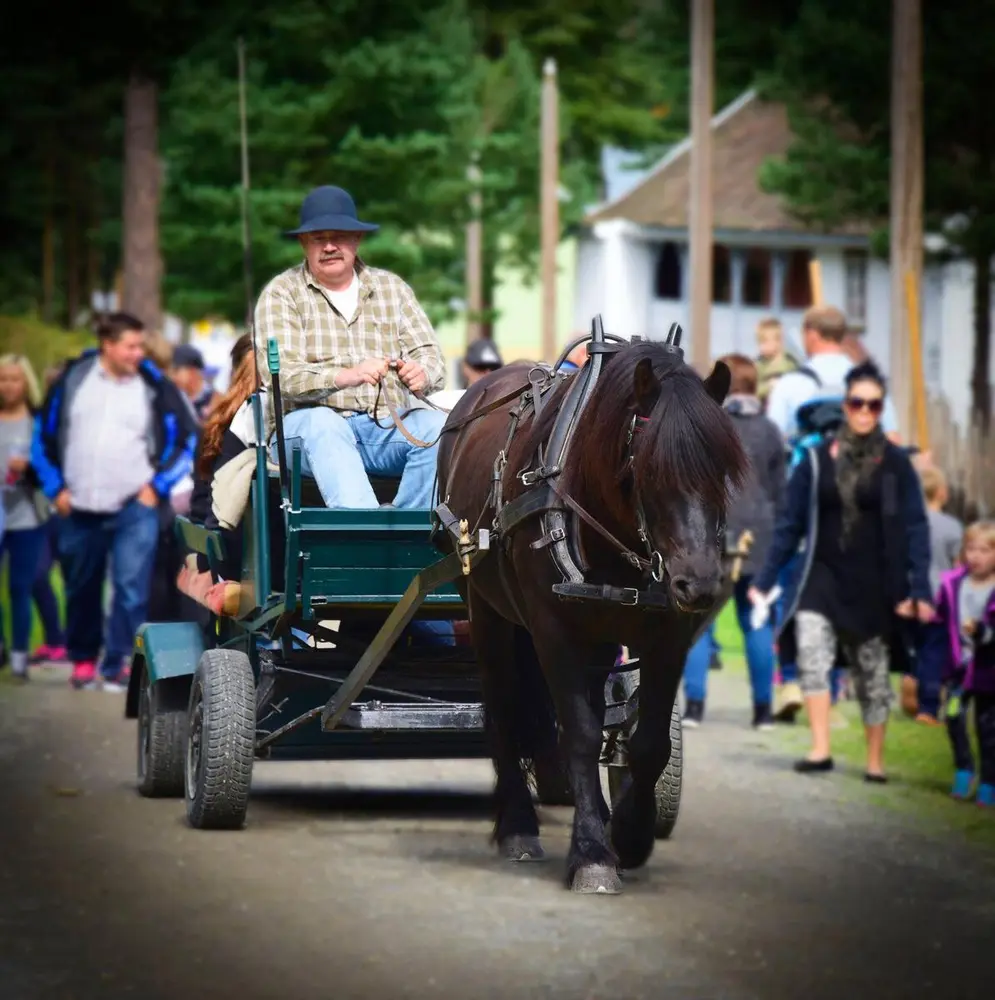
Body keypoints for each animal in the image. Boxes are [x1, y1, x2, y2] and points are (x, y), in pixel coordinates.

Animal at [438, 340, 748, 896]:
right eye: (650, 469)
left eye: (722, 471)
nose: (699, 585)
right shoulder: (553, 631)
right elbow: (579, 734)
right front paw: (591, 853)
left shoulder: (668, 638)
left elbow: (649, 742)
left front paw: (629, 834)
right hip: (485, 607)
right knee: (503, 707)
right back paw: (518, 825)